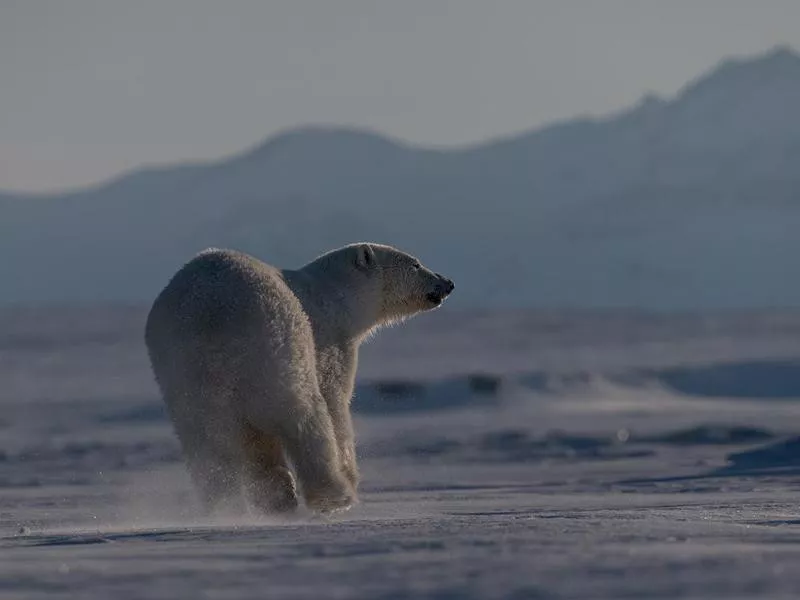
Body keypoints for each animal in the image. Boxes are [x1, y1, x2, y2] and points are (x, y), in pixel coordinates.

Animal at [146, 244, 454, 516]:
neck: (334, 295)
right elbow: (336, 404)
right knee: (303, 416)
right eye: (415, 264)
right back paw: (333, 494)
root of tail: (209, 318)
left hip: (183, 376)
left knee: (209, 443)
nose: (448, 282)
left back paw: (230, 505)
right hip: (276, 347)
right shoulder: (329, 343)